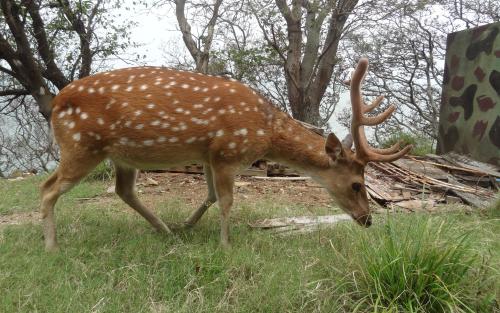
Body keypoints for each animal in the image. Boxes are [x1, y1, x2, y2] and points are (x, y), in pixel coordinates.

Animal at [40, 57, 410, 250]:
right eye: (356, 184)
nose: (367, 219)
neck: (265, 131)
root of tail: (56, 103)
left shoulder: (209, 154)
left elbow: (211, 196)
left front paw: (189, 225)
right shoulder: (228, 152)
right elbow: (227, 201)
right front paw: (225, 245)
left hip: (121, 155)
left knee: (123, 191)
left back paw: (166, 230)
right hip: (82, 144)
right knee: (47, 188)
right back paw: (52, 247)